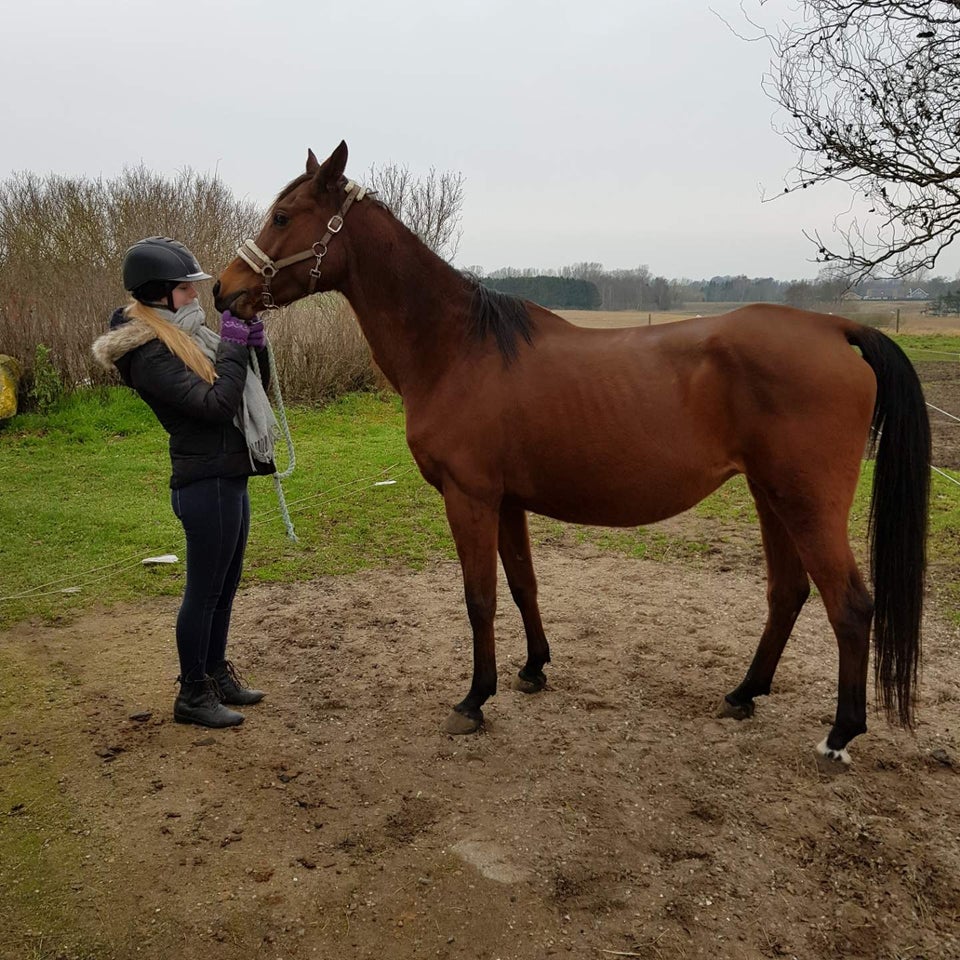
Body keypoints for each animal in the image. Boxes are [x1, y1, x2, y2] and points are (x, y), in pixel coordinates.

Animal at [212, 142, 928, 768]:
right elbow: (522, 584)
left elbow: (479, 596)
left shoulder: (470, 498)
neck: (458, 349)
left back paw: (840, 734)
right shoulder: (505, 501)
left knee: (849, 606)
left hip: (805, 503)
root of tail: (838, 329)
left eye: (283, 216)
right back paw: (743, 694)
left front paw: (474, 699)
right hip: (769, 496)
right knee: (788, 592)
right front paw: (532, 669)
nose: (223, 290)